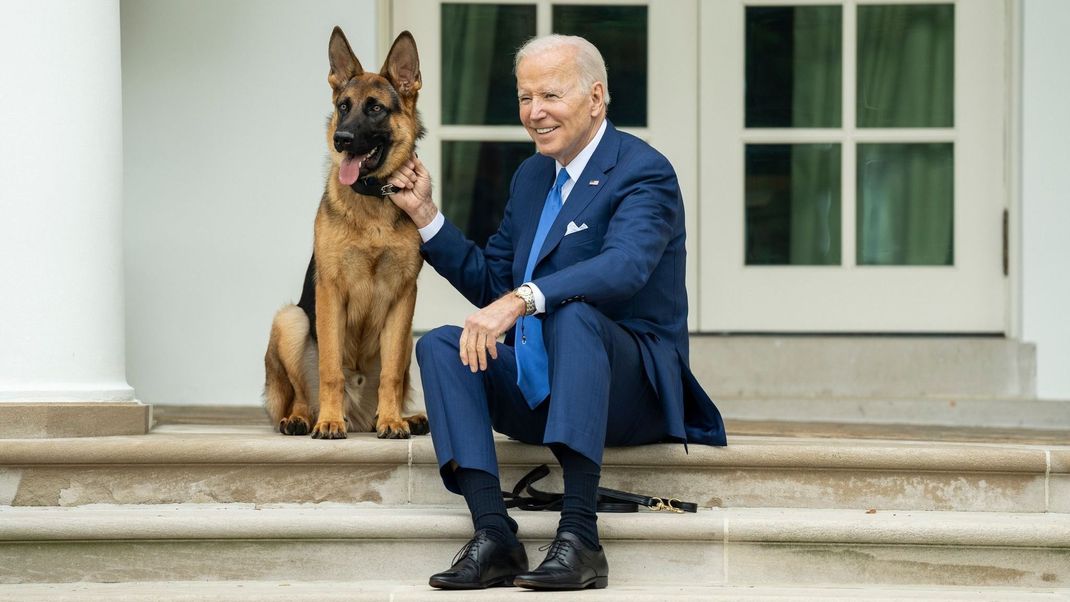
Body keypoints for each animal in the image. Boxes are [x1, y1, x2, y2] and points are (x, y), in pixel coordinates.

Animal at [264, 27, 430, 438]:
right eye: (343, 106)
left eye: (375, 109)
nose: (341, 139)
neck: (371, 199)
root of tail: (358, 417)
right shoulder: (330, 292)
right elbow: (330, 369)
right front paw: (328, 421)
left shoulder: (404, 297)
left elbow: (391, 375)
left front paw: (393, 421)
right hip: (291, 320)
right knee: (302, 394)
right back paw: (304, 419)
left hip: (409, 338)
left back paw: (401, 417)